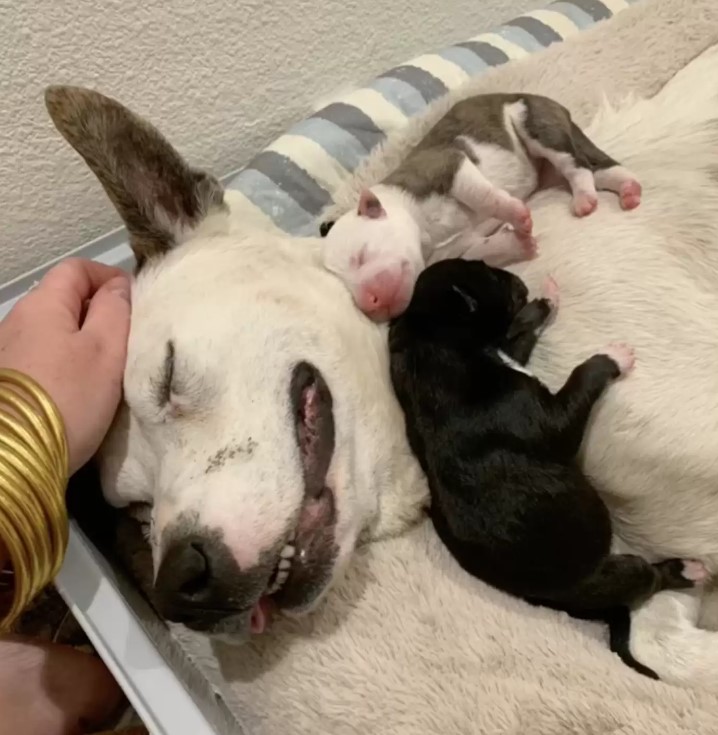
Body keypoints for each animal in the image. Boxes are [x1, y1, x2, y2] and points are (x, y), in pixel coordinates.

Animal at [320, 92, 640, 322]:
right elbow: (482, 250)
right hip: (552, 160)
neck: (423, 232)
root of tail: (555, 104)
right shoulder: (457, 247)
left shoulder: (447, 166)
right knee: (598, 168)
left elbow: (484, 195)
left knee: (577, 165)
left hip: (535, 123)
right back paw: (628, 189)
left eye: (361, 257)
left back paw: (584, 198)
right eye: (348, 288)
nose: (369, 305)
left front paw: (517, 215)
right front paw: (519, 244)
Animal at [388, 258, 708, 680]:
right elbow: (580, 380)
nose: (519, 279)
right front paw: (612, 357)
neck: (432, 341)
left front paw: (546, 300)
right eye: (490, 272)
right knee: (648, 579)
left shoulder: (507, 355)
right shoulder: (548, 419)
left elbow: (519, 338)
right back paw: (687, 569)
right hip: (612, 573)